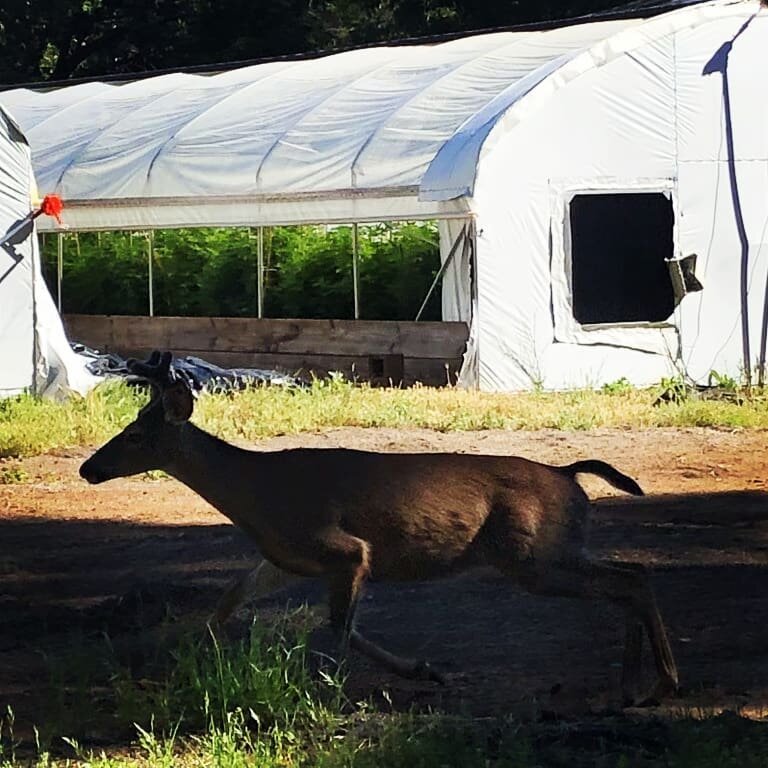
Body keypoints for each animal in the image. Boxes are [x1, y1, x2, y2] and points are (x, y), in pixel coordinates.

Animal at [78, 352, 680, 704]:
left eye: (135, 435)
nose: (88, 468)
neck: (255, 495)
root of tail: (567, 473)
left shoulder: (345, 549)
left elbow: (340, 627)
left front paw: (389, 678)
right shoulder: (285, 557)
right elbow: (227, 602)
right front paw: (193, 664)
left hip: (533, 553)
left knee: (631, 579)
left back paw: (663, 683)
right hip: (552, 549)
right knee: (631, 575)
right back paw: (633, 686)